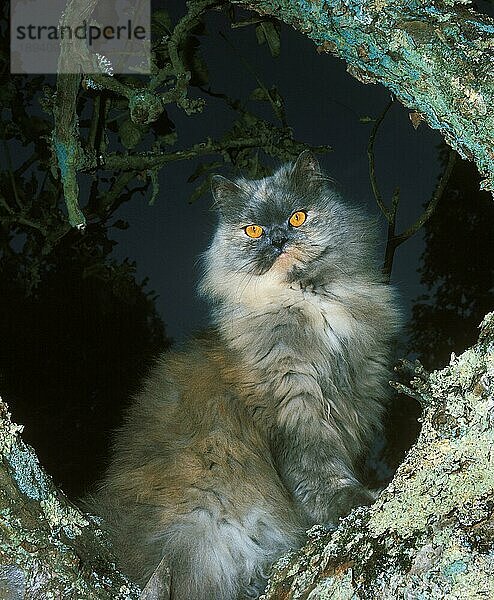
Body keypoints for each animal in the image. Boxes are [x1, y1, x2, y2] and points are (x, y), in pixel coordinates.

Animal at [91, 150, 402, 600]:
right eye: (253, 229)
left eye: (296, 218)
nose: (277, 239)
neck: (309, 303)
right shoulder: (298, 407)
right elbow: (319, 471)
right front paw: (350, 502)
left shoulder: (358, 390)